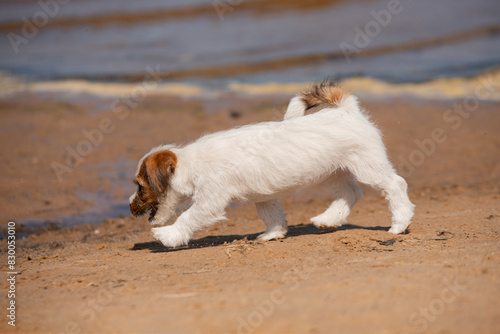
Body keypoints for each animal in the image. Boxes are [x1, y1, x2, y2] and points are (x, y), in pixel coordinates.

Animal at [129, 81, 414, 248]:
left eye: (140, 186)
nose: (130, 205)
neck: (191, 163)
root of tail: (345, 109)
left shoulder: (210, 201)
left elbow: (188, 217)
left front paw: (168, 235)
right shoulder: (263, 197)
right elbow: (271, 215)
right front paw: (273, 234)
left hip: (368, 167)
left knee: (395, 185)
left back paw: (399, 223)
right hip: (334, 172)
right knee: (350, 194)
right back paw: (327, 219)